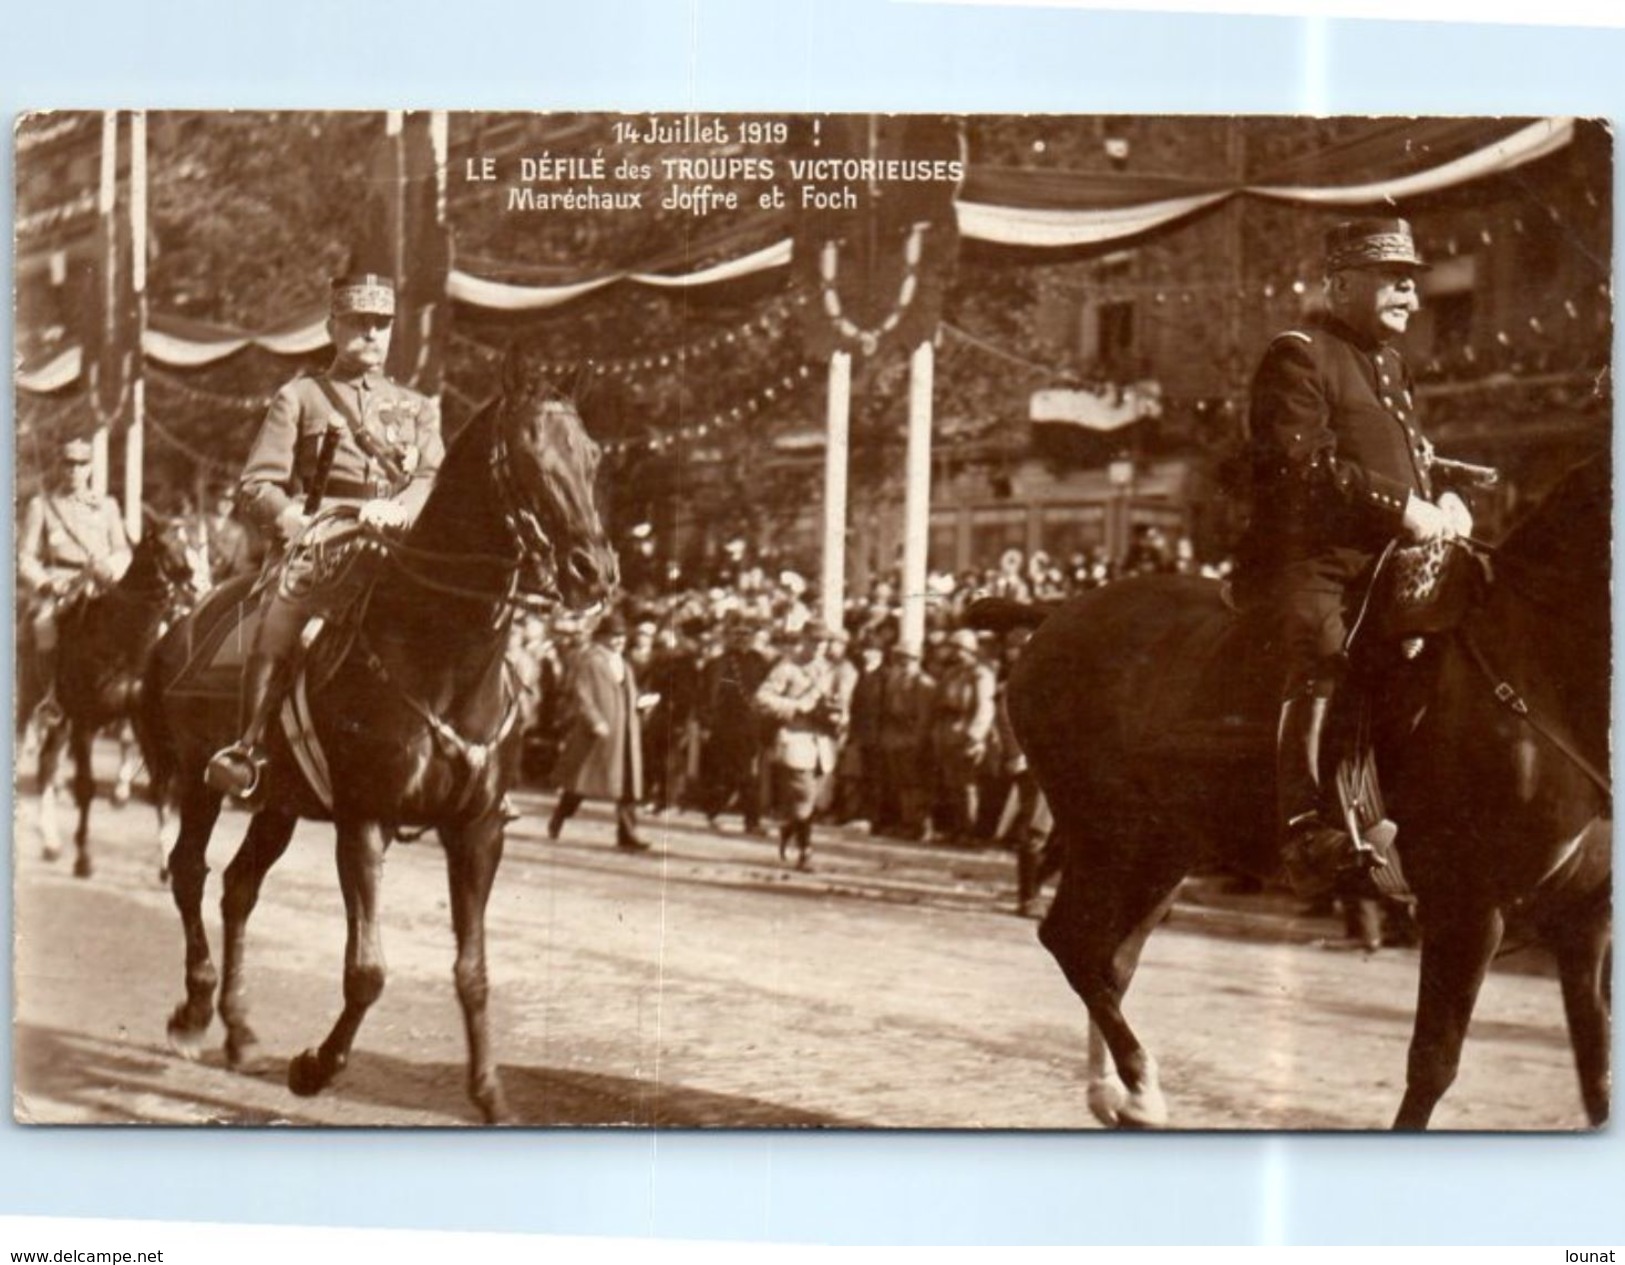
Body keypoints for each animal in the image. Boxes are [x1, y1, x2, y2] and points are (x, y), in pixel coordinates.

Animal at [136, 349, 617, 1118]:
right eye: (526, 455)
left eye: (592, 455)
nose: (593, 571)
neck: (440, 651)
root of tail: (179, 623)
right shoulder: (364, 820)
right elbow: (367, 970)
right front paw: (314, 1067)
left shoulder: (478, 828)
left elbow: (473, 969)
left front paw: (489, 1092)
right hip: (199, 779)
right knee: (189, 872)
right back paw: (195, 1011)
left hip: (280, 803)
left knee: (238, 886)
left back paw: (240, 1030)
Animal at [994, 458, 1605, 1131]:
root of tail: (1052, 618)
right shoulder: (1467, 907)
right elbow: (1433, 1065)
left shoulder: (1585, 921)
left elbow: (1596, 1067)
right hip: (1110, 837)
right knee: (1074, 945)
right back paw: (1139, 1086)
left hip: (1161, 852)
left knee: (1109, 960)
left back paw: (1116, 1091)